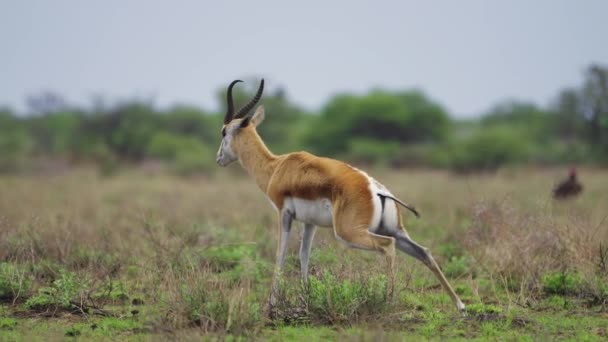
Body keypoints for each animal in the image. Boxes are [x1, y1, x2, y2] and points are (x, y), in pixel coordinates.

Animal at [217, 79, 466, 312]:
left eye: (224, 131)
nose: (219, 158)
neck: (276, 167)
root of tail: (376, 189)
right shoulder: (309, 222)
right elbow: (304, 255)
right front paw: (306, 298)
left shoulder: (284, 214)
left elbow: (280, 255)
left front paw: (271, 304)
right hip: (393, 229)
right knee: (424, 252)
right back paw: (460, 306)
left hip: (350, 233)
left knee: (387, 246)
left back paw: (388, 301)